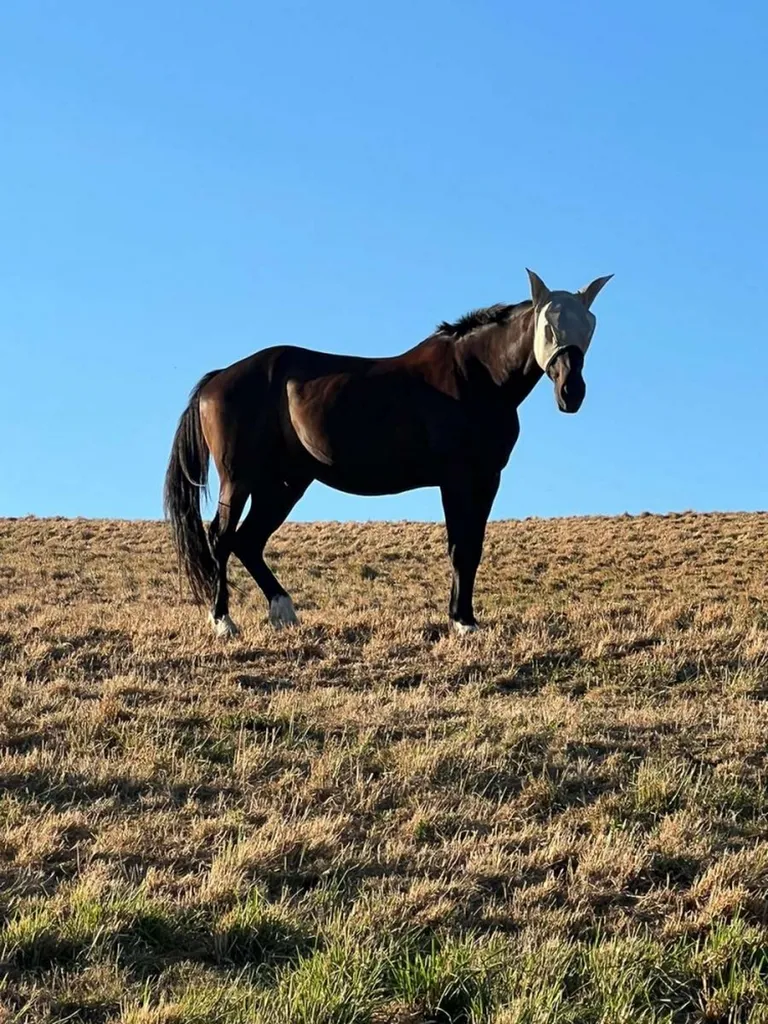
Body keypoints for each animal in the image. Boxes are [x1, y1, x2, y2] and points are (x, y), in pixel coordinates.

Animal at [164, 269, 612, 637]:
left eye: (589, 326)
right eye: (549, 326)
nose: (572, 392)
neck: (477, 377)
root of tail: (218, 378)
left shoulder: (487, 478)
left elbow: (474, 547)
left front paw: (465, 618)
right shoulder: (456, 479)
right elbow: (459, 547)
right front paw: (462, 622)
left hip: (285, 483)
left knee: (249, 541)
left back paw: (284, 612)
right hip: (239, 478)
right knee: (221, 537)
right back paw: (223, 621)